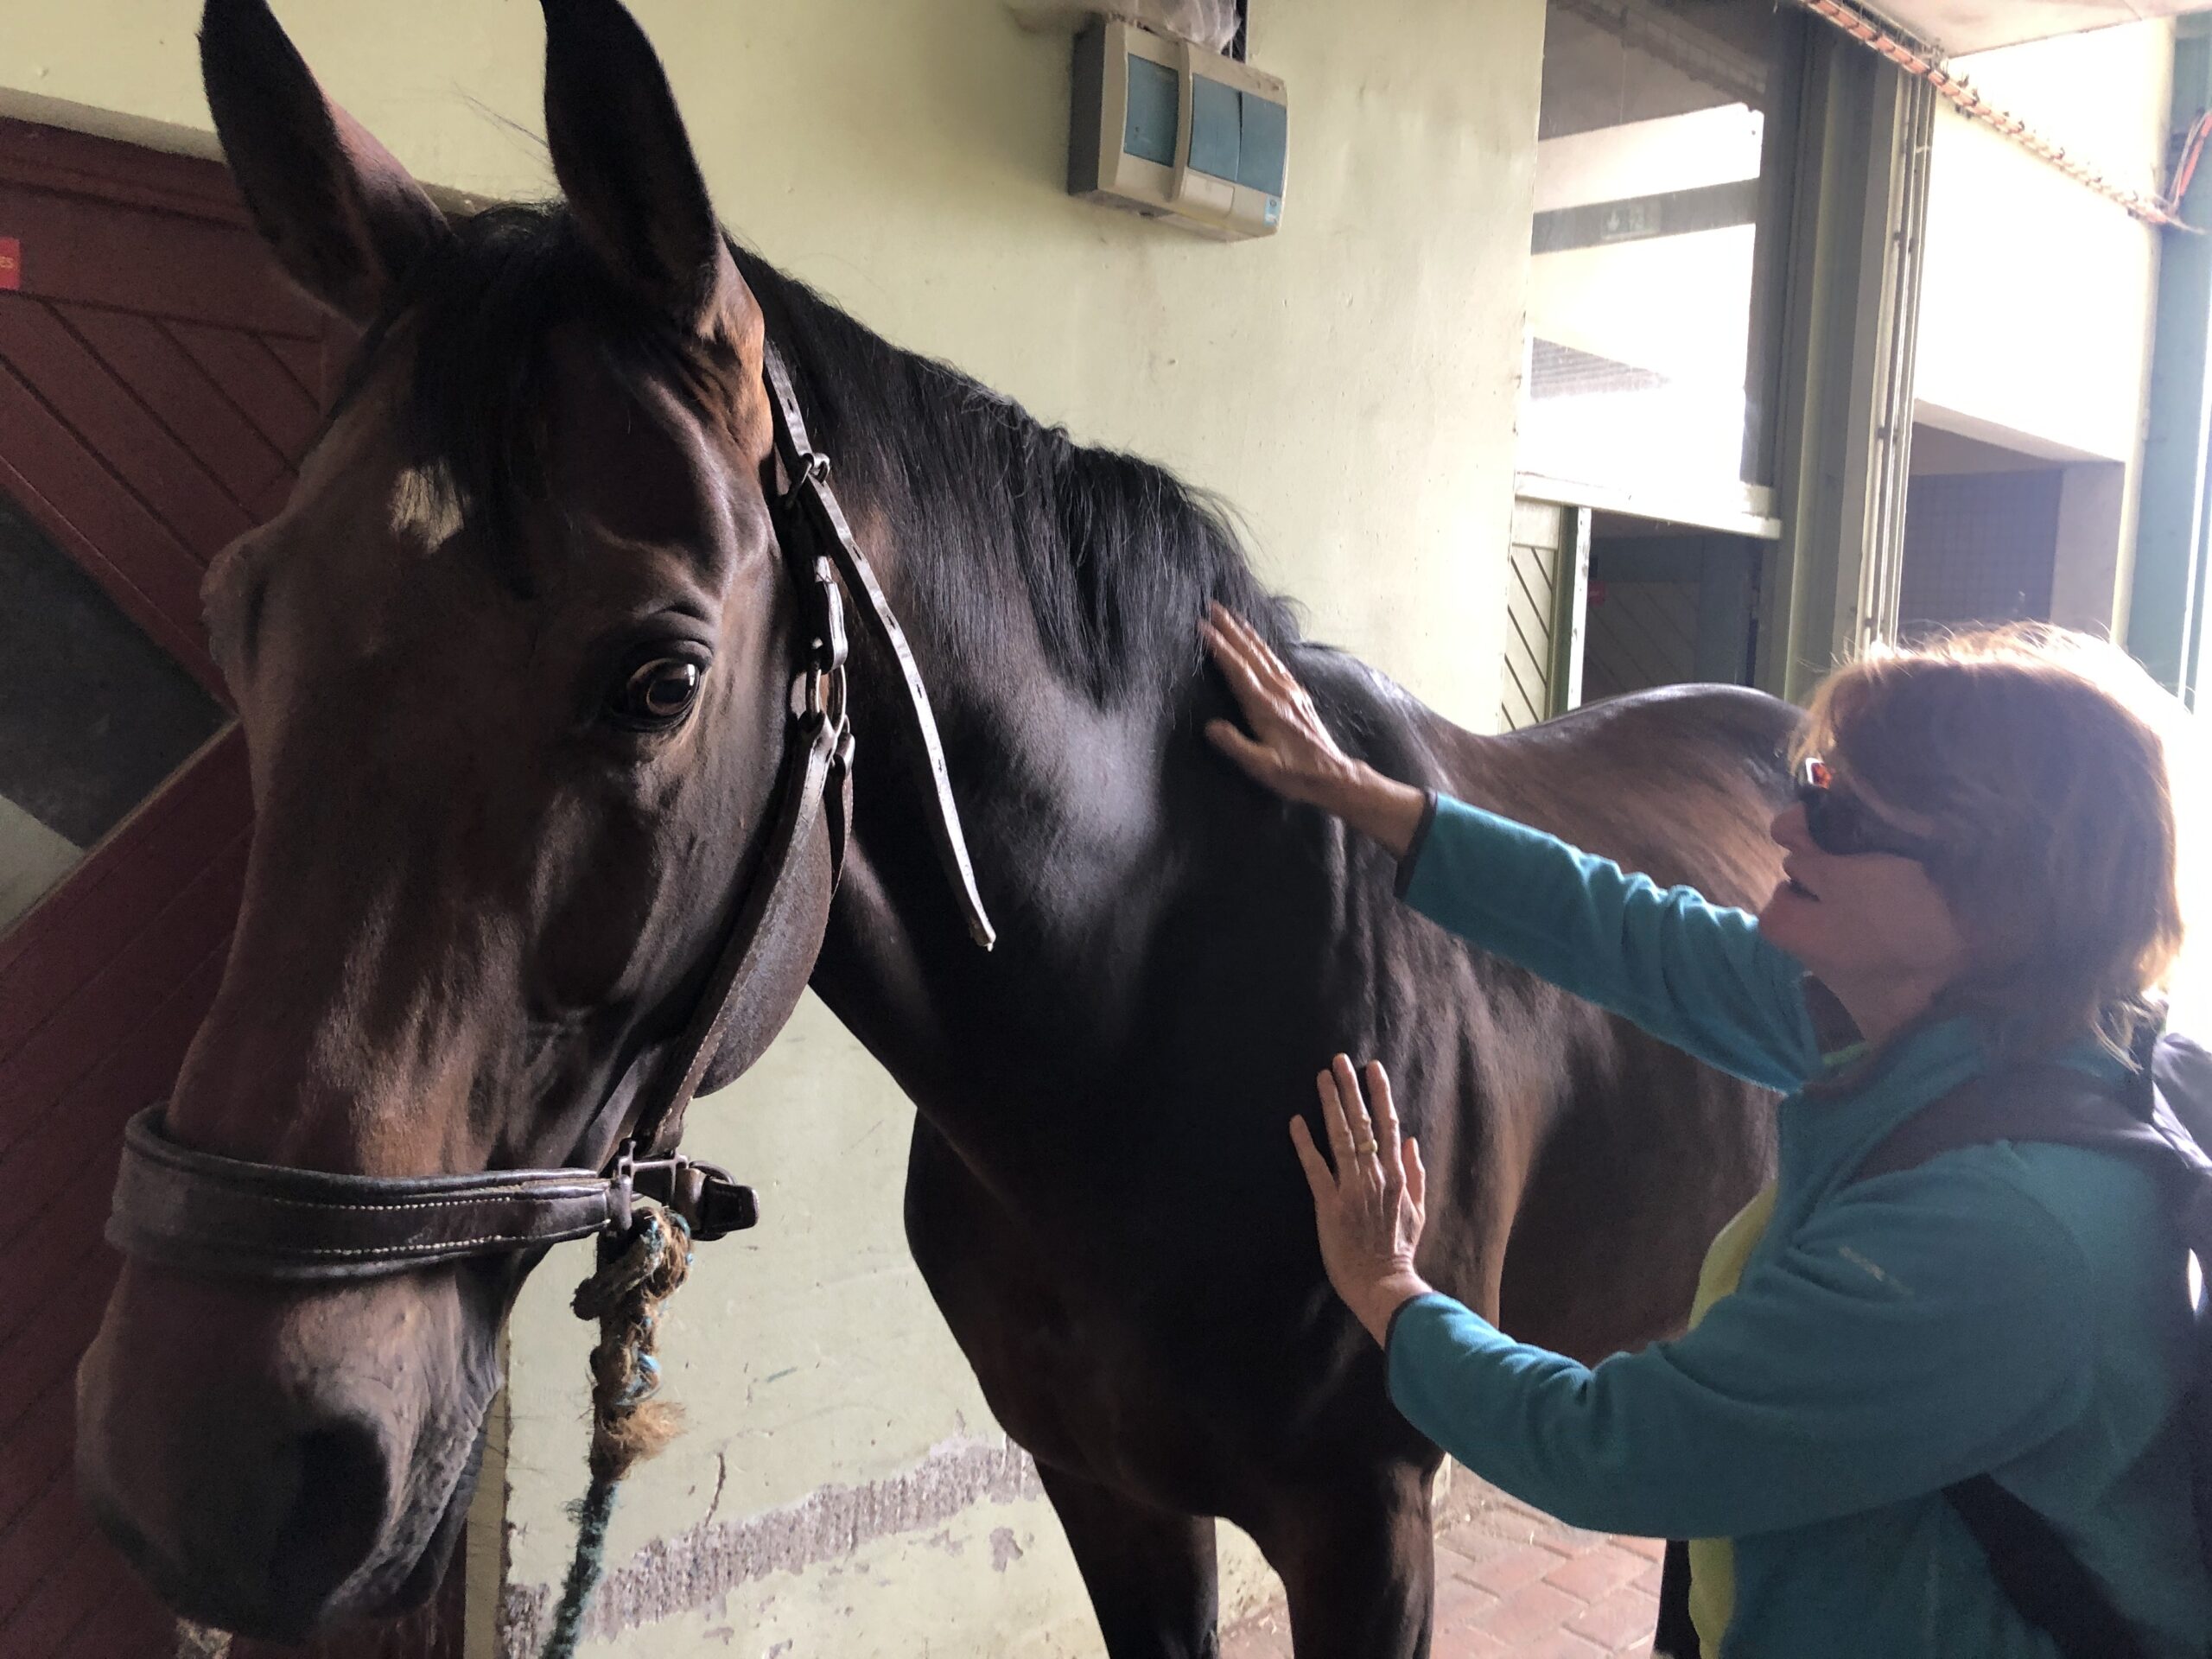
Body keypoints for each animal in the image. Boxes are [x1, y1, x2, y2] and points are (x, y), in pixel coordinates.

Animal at [74, 0, 1798, 1652]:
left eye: (660, 679)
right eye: (240, 616)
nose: (210, 1468)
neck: (1155, 1026)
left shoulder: (1365, 1527)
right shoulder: (1107, 1492)